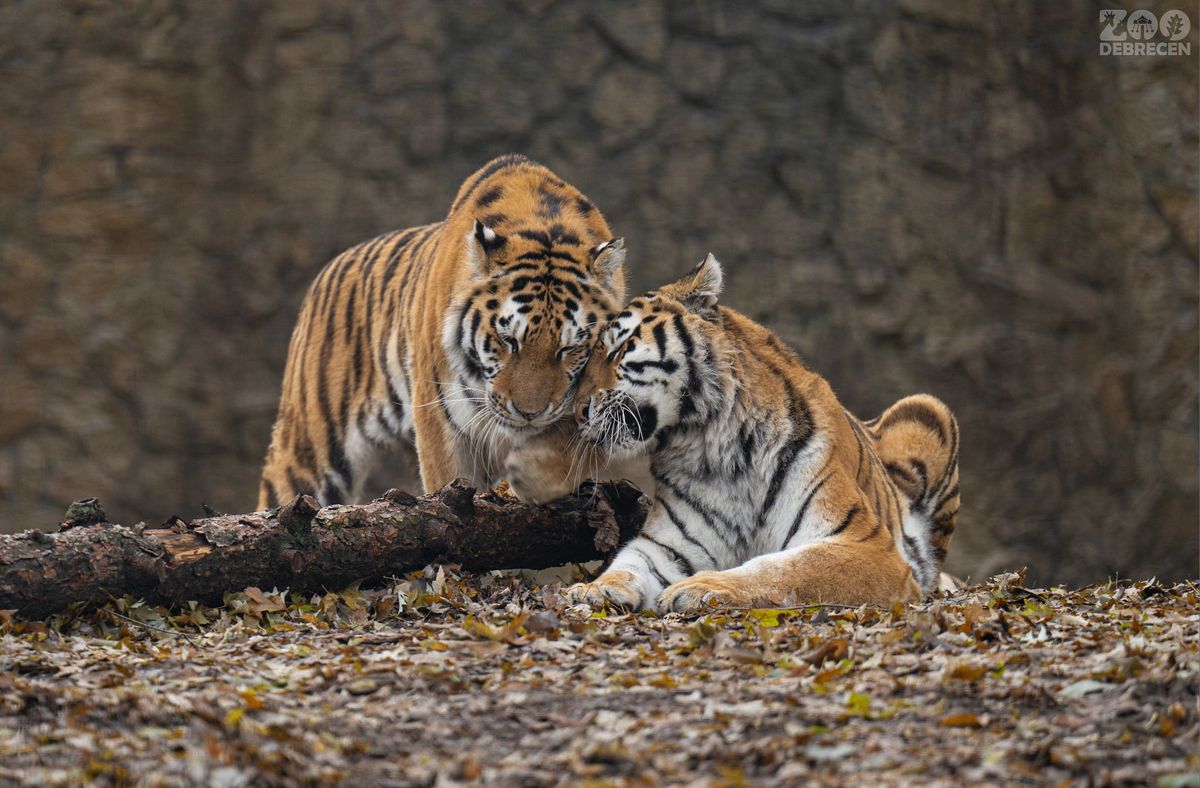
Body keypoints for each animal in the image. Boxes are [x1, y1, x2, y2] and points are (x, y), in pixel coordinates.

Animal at [556, 255, 960, 611]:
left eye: (619, 349)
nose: (577, 411)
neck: (712, 447)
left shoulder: (864, 545)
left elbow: (784, 568)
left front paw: (703, 587)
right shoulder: (669, 545)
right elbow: (628, 563)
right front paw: (592, 589)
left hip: (928, 408)